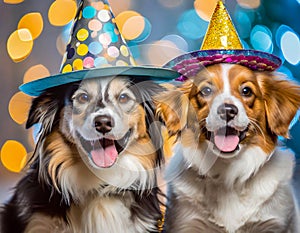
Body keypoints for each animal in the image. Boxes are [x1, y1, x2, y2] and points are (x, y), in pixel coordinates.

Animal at [156, 62, 300, 232]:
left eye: (246, 91)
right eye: (206, 91)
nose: (227, 110)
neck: (228, 174)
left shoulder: (274, 223)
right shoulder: (188, 223)